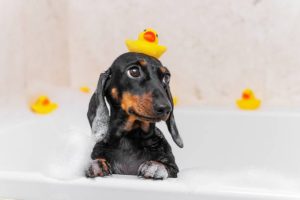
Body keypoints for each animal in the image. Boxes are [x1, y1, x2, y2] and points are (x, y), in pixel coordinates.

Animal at [84, 52, 183, 180]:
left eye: (166, 77)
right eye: (134, 71)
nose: (166, 108)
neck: (130, 138)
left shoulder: (174, 169)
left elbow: (165, 166)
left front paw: (155, 166)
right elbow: (96, 160)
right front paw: (97, 164)